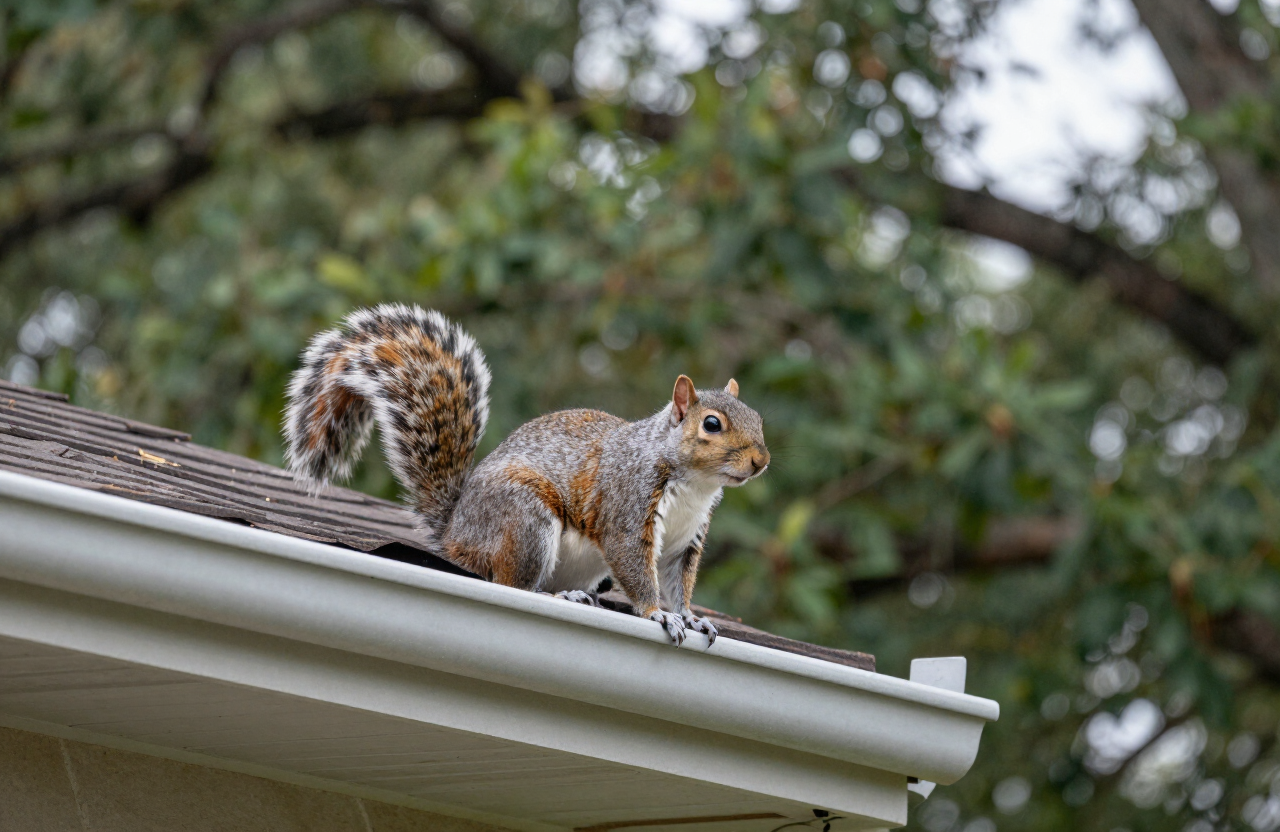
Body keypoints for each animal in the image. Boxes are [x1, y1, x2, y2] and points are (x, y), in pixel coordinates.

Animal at [283, 303, 770, 646]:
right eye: (712, 424)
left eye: (758, 418)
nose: (760, 461)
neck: (695, 485)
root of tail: (456, 533)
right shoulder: (628, 506)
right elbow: (635, 567)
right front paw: (657, 614)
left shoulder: (685, 541)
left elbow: (677, 582)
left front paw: (689, 616)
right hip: (526, 519)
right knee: (515, 585)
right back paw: (560, 597)